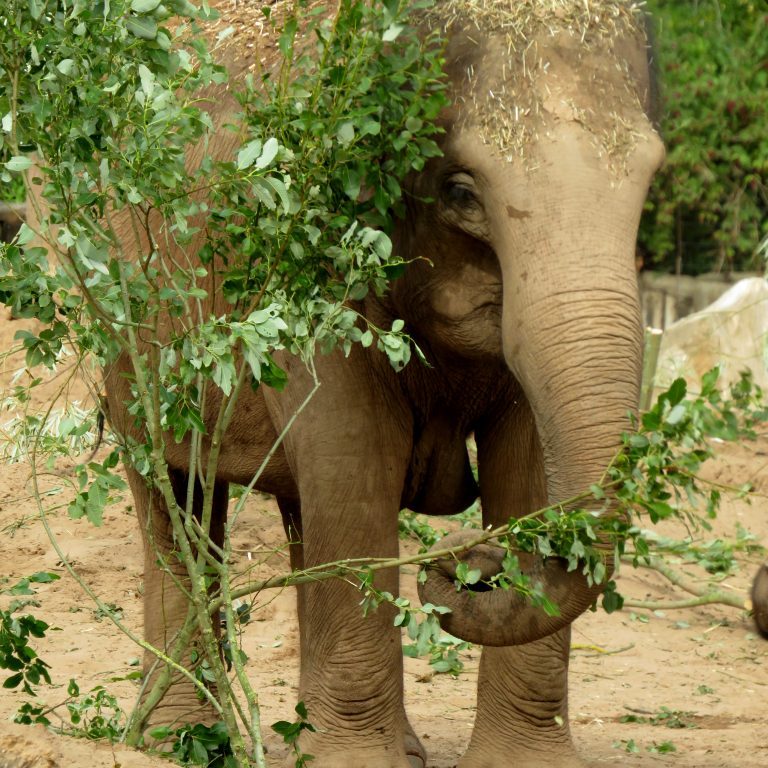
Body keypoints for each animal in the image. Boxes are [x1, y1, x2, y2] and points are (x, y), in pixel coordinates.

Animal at [103, 1, 664, 768]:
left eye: (650, 181)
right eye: (460, 191)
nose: (468, 564)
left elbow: (523, 464)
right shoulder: (305, 254)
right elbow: (355, 457)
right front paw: (353, 761)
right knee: (172, 489)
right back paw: (177, 741)